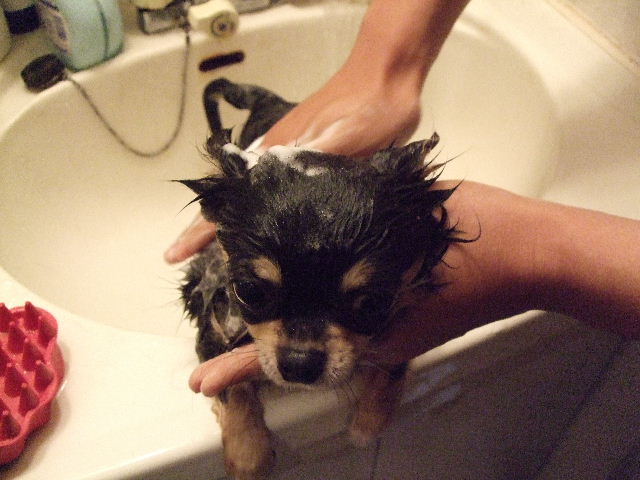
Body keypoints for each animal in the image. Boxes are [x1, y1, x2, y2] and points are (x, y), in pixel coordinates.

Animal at [180, 78, 464, 479]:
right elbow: (234, 389)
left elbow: (393, 364)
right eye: (249, 292)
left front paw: (369, 422)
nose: (300, 364)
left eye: (374, 303)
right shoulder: (212, 329)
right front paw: (248, 454)